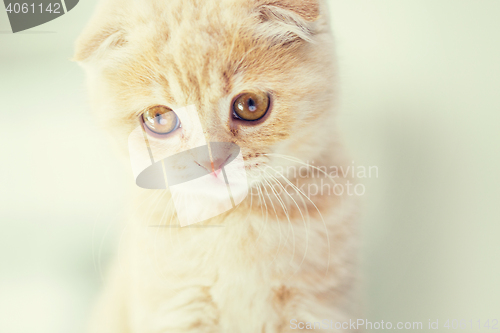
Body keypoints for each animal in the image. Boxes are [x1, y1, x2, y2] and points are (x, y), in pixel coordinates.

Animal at [75, 0, 360, 332]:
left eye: (251, 104)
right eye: (159, 117)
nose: (211, 161)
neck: (236, 222)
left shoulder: (317, 309)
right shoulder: (175, 309)